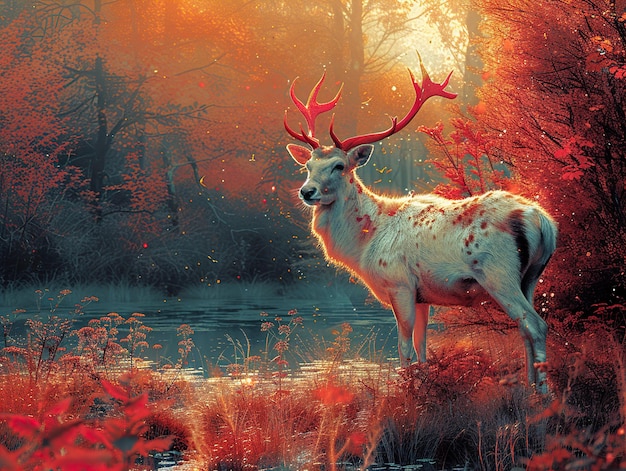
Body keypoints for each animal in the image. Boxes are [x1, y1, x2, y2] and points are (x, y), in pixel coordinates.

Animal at [282, 58, 556, 394]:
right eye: (307, 165)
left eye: (339, 166)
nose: (307, 192)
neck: (365, 242)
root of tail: (543, 222)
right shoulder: (422, 295)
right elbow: (422, 348)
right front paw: (424, 387)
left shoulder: (399, 283)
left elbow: (404, 349)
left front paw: (406, 393)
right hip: (531, 277)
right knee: (526, 326)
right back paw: (530, 388)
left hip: (498, 273)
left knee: (535, 324)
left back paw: (543, 393)